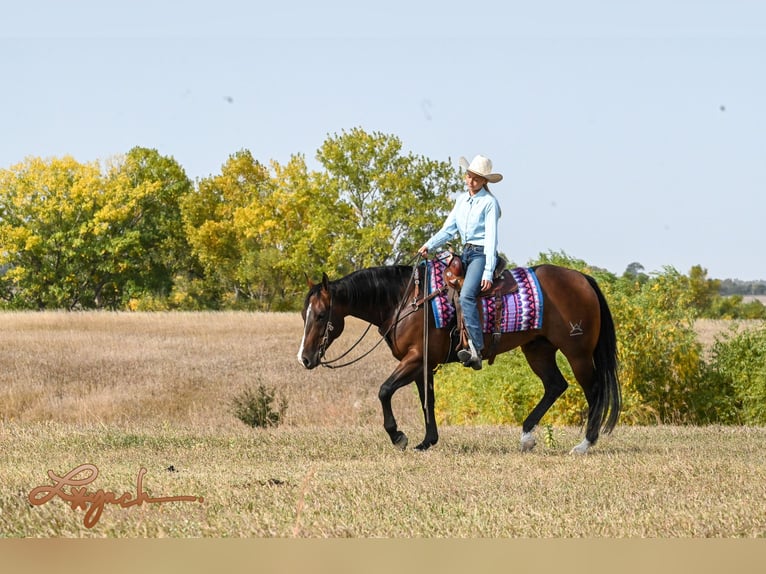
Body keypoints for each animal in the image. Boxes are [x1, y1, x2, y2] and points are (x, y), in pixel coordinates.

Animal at [296, 264, 620, 456]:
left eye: (321, 315)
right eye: (304, 314)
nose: (305, 358)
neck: (406, 301)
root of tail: (582, 279)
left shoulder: (415, 359)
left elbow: (384, 391)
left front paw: (398, 436)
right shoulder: (423, 365)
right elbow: (427, 400)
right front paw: (427, 441)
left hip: (577, 353)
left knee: (593, 391)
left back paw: (585, 443)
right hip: (538, 349)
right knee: (555, 386)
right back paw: (527, 435)